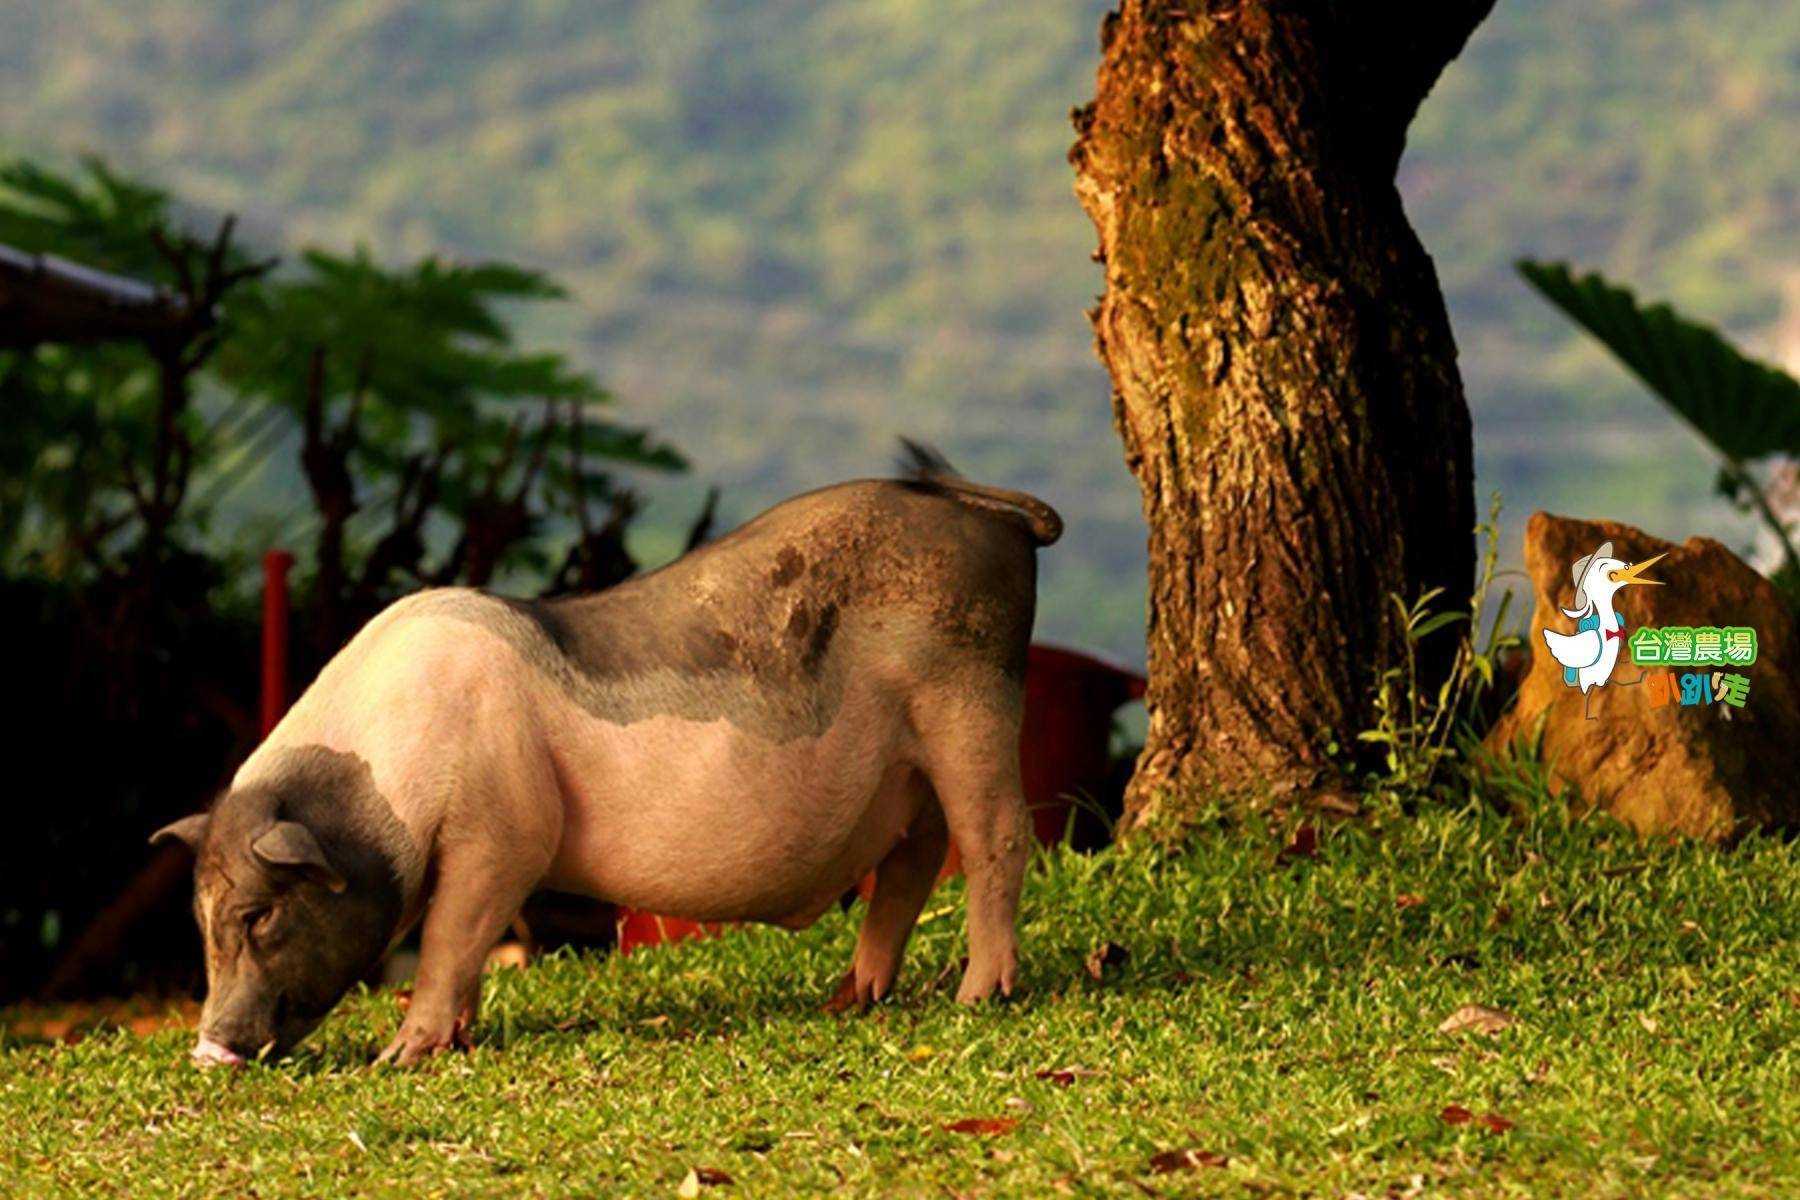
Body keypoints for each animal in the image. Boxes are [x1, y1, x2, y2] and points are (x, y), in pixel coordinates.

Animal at [154, 446, 1058, 1065]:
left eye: (258, 914)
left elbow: (449, 934)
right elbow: (464, 945)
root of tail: (988, 510)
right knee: (916, 859)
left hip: (969, 697)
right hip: (911, 762)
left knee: (998, 836)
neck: (388, 781)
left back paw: (978, 997)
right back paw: (850, 1000)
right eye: (199, 920)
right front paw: (457, 1039)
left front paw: (398, 1057)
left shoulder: (507, 827)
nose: (209, 1047)